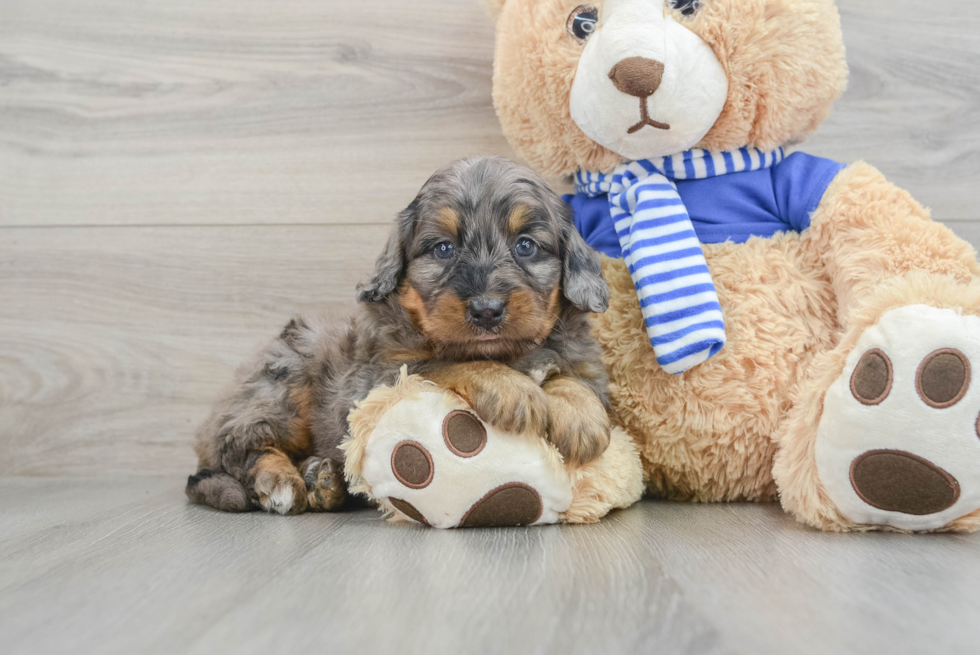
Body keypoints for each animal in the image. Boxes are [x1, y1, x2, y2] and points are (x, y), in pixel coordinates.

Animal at [186, 156, 612, 516]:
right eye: (443, 248)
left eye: (526, 245)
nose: (487, 310)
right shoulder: (377, 382)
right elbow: (448, 361)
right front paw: (511, 387)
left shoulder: (584, 361)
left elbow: (571, 375)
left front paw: (580, 413)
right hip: (285, 384)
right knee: (239, 446)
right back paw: (281, 481)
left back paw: (323, 480)